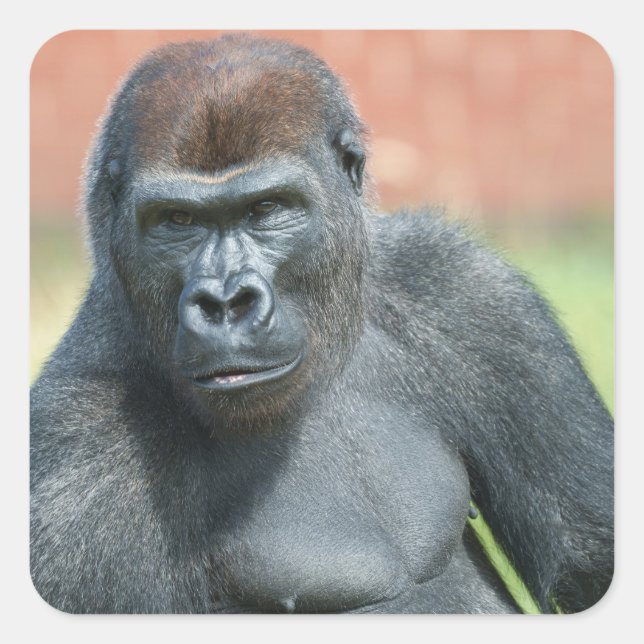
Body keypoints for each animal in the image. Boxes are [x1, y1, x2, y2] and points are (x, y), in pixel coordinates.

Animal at [30, 34, 613, 614]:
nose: (225, 301)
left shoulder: (473, 294)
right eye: (178, 220)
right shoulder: (75, 472)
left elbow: (589, 563)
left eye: (267, 208)